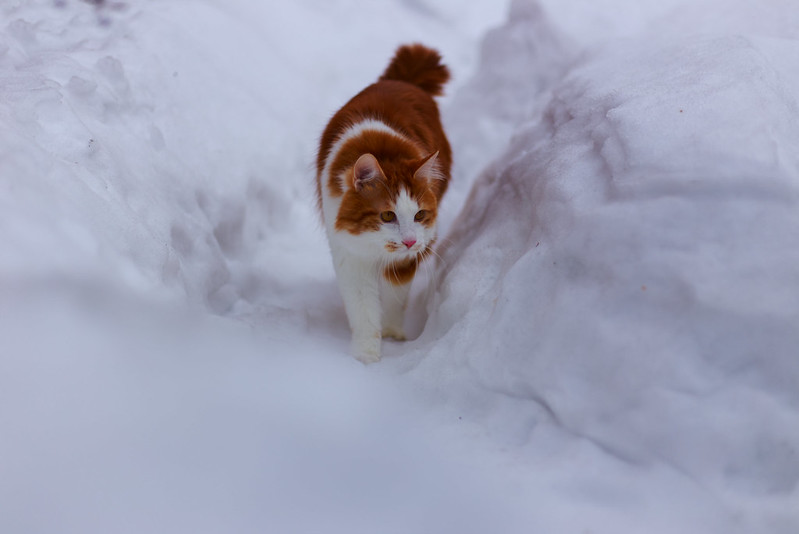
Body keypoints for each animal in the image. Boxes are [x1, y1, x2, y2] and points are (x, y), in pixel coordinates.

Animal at [318, 45, 456, 364]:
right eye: (387, 216)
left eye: (419, 214)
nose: (408, 241)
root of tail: (402, 81)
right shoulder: (350, 255)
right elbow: (363, 309)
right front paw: (365, 354)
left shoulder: (408, 256)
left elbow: (395, 298)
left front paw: (393, 335)